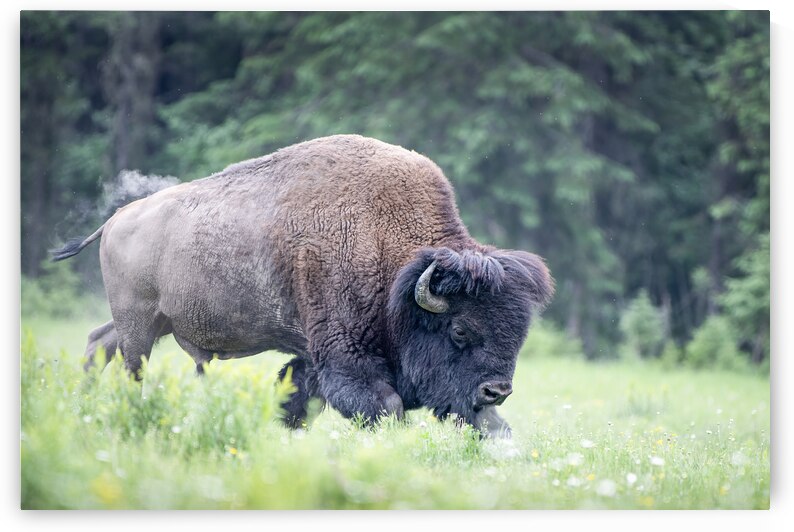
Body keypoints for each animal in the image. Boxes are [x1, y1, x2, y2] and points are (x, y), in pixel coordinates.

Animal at [52, 135, 553, 437]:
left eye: (519, 333)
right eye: (460, 330)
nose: (496, 392)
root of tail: (116, 219)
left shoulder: (313, 354)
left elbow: (294, 396)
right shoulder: (344, 356)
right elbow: (382, 404)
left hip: (150, 321)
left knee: (98, 343)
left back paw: (85, 405)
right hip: (138, 322)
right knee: (131, 368)